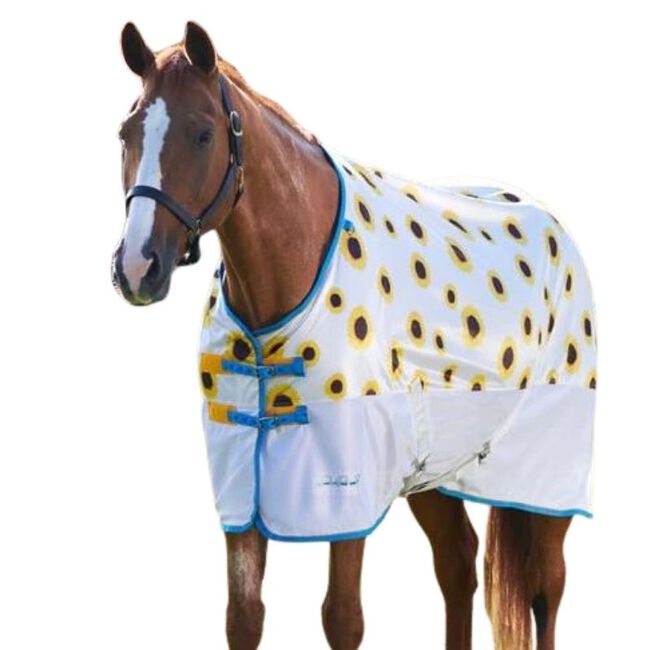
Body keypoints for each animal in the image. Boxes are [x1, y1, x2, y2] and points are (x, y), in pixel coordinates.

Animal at [112, 22, 596, 650]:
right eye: (126, 133)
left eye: (201, 134)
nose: (137, 267)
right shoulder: (243, 486)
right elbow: (243, 618)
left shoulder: (347, 489)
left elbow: (342, 617)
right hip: (435, 469)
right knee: (457, 565)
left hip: (547, 475)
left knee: (545, 589)